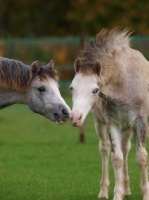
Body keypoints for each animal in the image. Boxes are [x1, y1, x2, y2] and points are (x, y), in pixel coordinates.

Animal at [70, 28, 149, 200]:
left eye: (95, 90)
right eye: (72, 87)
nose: (75, 118)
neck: (123, 83)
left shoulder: (140, 122)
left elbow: (141, 157)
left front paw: (146, 194)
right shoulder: (113, 123)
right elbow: (117, 158)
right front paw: (117, 194)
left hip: (128, 126)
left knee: (126, 148)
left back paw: (127, 189)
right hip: (100, 123)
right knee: (105, 148)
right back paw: (105, 191)